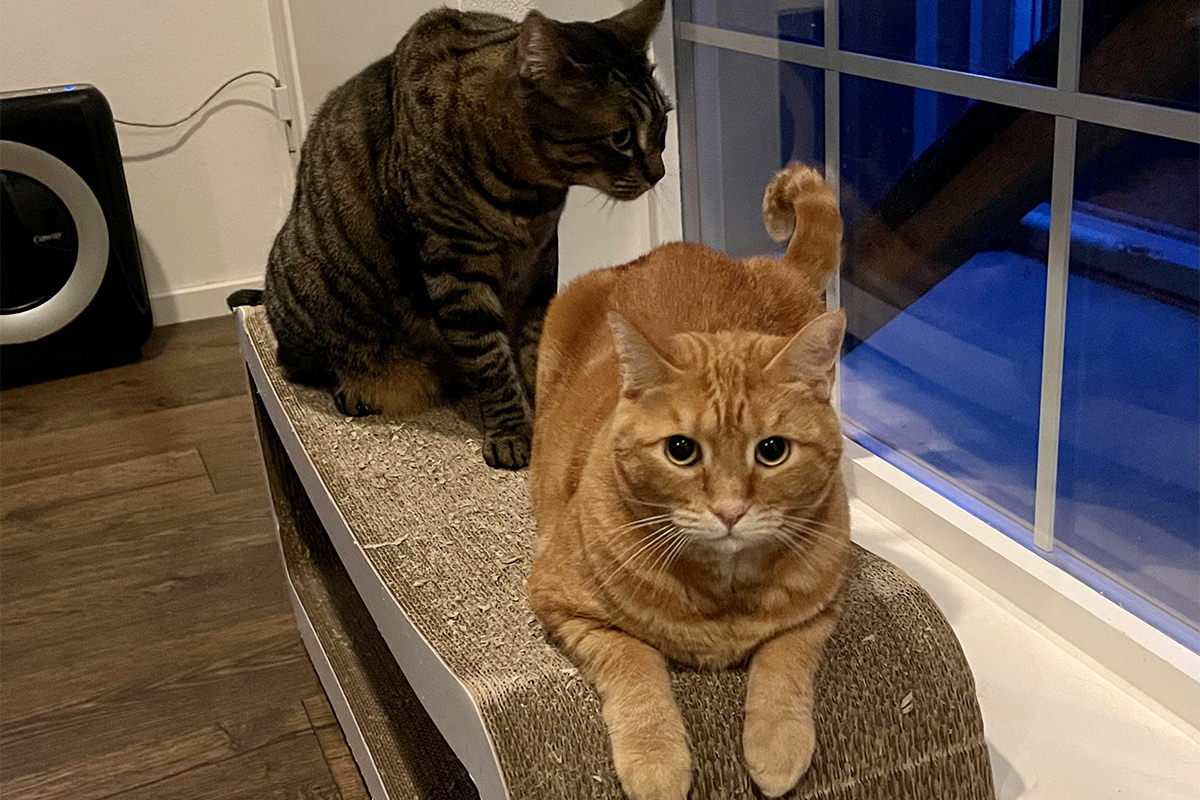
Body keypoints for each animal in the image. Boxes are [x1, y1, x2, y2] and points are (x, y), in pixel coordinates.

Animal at [262, 0, 672, 470]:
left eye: (664, 121)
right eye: (621, 138)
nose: (660, 172)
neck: (530, 193)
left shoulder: (541, 262)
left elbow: (534, 346)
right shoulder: (455, 267)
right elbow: (490, 361)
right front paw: (512, 431)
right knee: (304, 362)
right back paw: (355, 386)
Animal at [530, 164, 849, 800]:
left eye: (772, 451)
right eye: (681, 450)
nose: (729, 510)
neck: (724, 592)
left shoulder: (821, 610)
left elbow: (785, 661)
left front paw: (777, 744)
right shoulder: (566, 608)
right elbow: (636, 668)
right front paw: (657, 762)